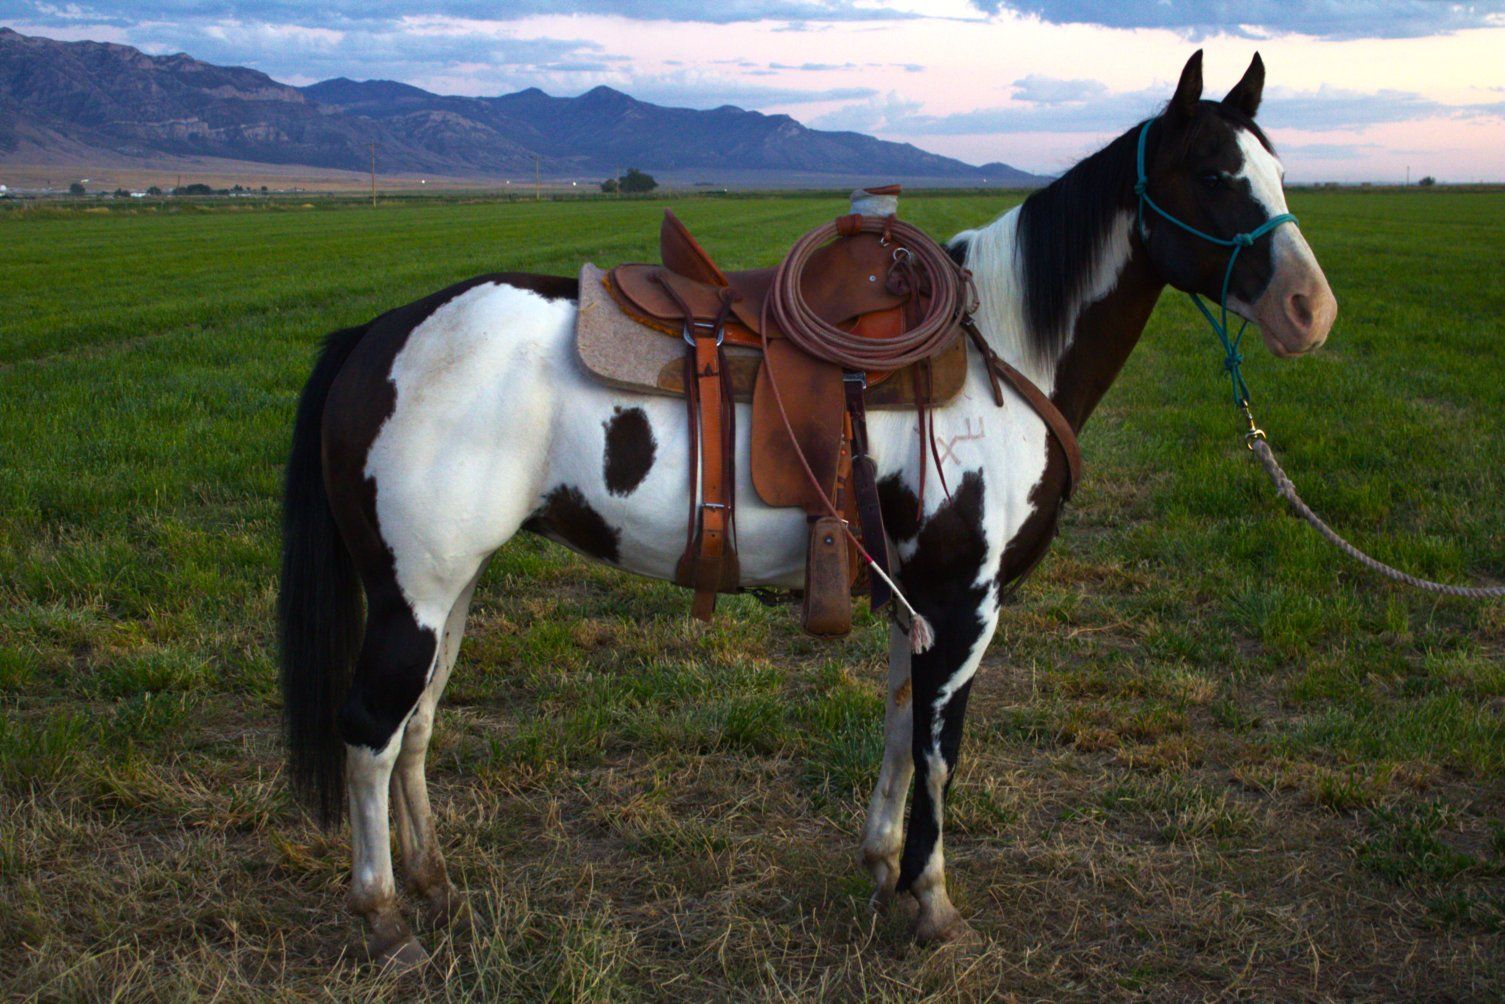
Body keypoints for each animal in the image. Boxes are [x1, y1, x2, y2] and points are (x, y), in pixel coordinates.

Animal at [278, 50, 1337, 965]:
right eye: (1213, 173)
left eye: (1277, 170)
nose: (1310, 312)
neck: (1003, 354)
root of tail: (377, 333)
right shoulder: (965, 606)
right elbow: (941, 756)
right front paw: (931, 905)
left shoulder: (919, 607)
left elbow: (902, 732)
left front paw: (882, 869)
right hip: (414, 599)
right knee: (370, 733)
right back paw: (383, 917)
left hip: (446, 591)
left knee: (416, 729)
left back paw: (433, 882)